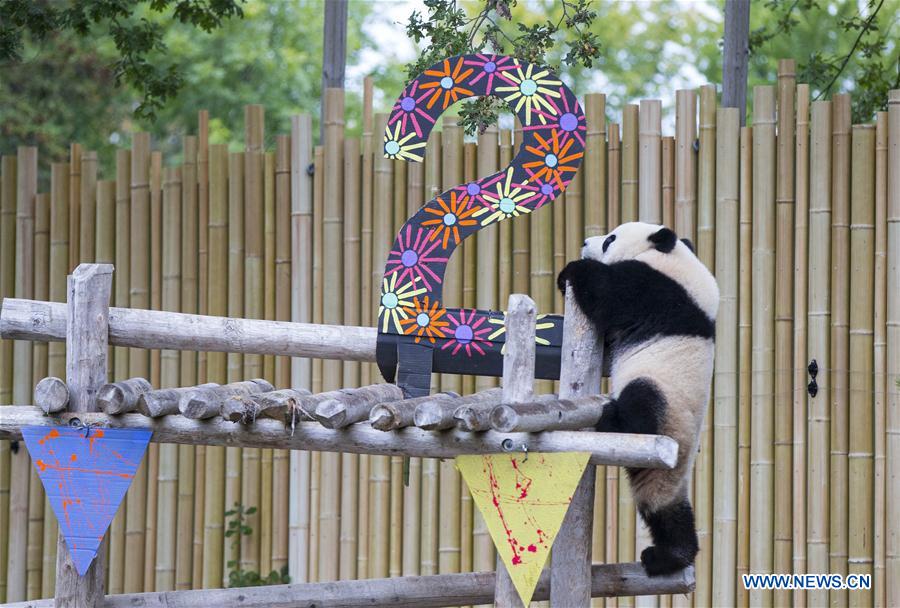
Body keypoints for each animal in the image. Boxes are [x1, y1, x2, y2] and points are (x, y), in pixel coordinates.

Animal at [556, 221, 718, 576]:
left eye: (610, 238)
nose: (584, 242)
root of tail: (676, 453)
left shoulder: (654, 290)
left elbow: (608, 295)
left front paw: (570, 272)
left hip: (662, 396)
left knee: (640, 405)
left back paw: (610, 418)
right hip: (661, 467)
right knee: (664, 509)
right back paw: (673, 555)